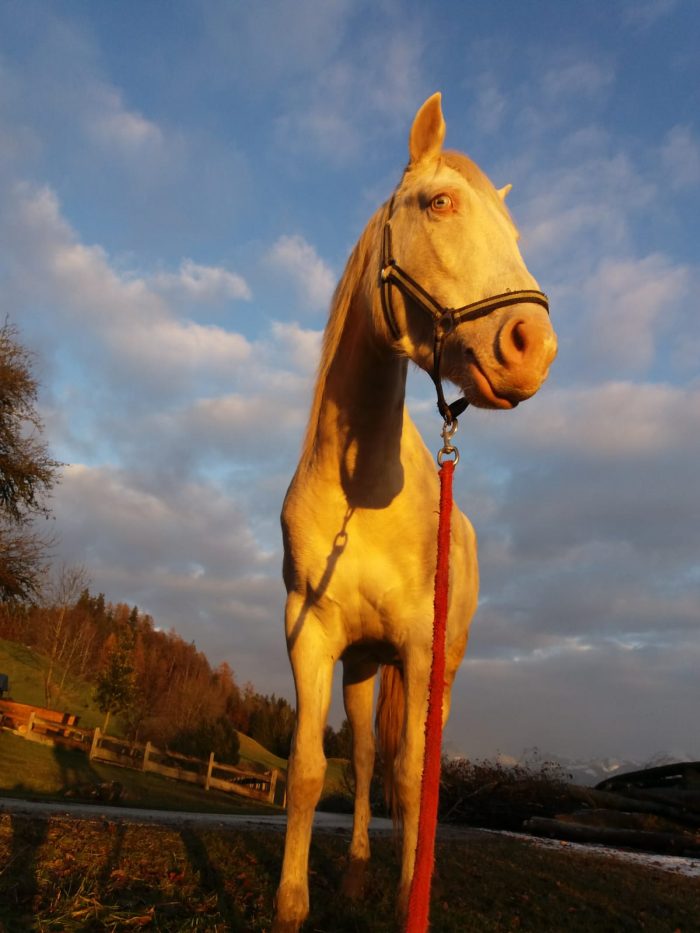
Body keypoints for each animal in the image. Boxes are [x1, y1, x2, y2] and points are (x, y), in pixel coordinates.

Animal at [272, 92, 557, 932]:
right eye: (438, 203)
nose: (534, 347)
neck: (361, 491)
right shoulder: (311, 633)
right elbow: (313, 768)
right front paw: (294, 902)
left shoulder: (423, 650)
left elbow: (413, 777)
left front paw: (411, 898)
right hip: (367, 663)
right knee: (368, 753)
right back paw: (361, 867)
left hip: (443, 666)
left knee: (414, 769)